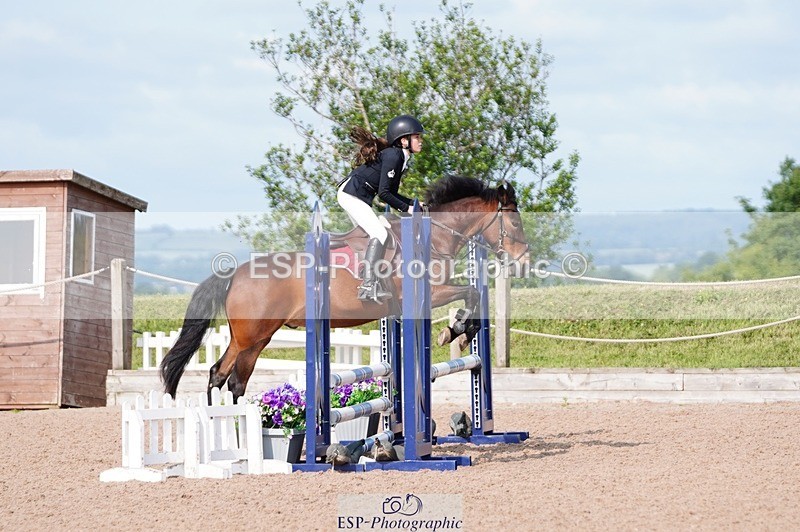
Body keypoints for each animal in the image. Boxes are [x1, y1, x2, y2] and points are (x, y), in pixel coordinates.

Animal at [161, 175, 530, 401]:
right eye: (514, 221)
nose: (523, 262)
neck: (433, 237)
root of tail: (236, 274)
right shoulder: (432, 293)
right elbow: (471, 294)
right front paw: (456, 332)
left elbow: (472, 296)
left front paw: (460, 332)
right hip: (252, 336)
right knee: (229, 377)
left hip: (251, 337)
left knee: (223, 375)